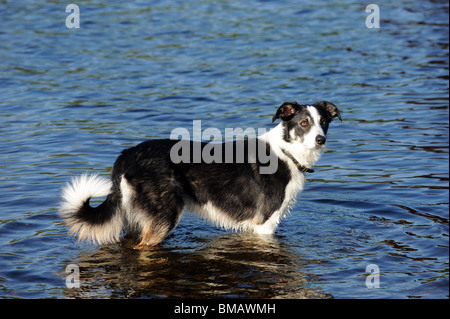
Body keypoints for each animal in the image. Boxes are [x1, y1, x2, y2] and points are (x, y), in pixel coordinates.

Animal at [59, 101, 342, 249]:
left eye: (324, 122)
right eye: (303, 123)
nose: (321, 139)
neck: (286, 151)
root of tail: (127, 154)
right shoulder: (265, 225)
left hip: (137, 219)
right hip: (164, 217)